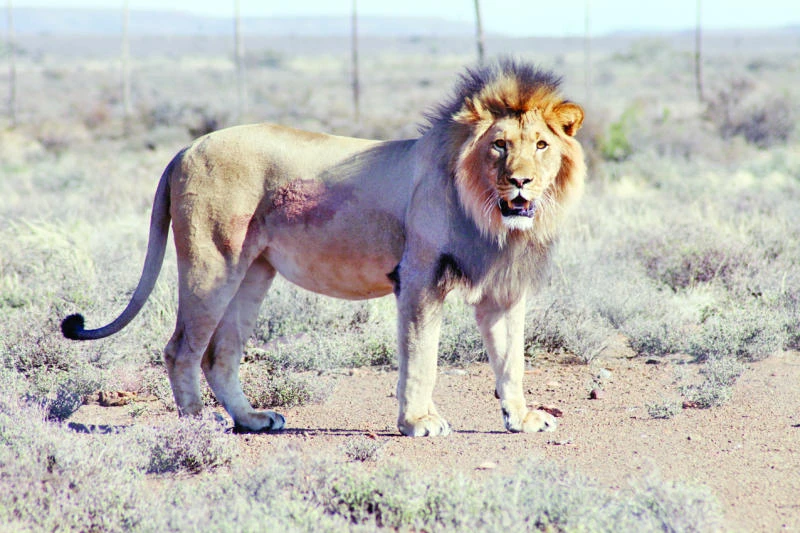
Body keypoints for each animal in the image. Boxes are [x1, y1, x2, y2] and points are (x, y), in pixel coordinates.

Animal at [61, 59, 586, 437]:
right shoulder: (420, 278)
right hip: (211, 264)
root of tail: (184, 149)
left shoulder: (503, 290)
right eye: (499, 145)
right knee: (180, 351)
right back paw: (198, 425)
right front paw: (418, 422)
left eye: (541, 145)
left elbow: (511, 359)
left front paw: (521, 418)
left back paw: (252, 420)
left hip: (253, 273)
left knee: (219, 355)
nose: (520, 182)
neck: (490, 216)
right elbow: (421, 359)